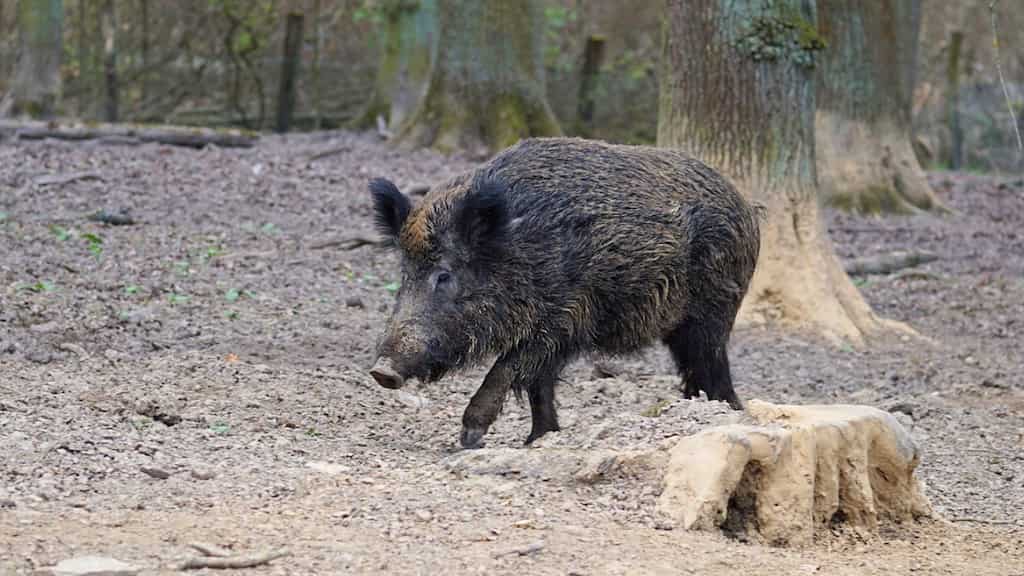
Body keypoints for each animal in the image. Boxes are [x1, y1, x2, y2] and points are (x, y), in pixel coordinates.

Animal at [367, 137, 760, 448]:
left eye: (444, 274)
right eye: (405, 273)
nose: (382, 371)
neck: (518, 249)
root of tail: (746, 207)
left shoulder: (561, 318)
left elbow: (507, 368)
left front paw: (470, 437)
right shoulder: (555, 334)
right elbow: (538, 384)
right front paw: (539, 438)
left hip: (712, 312)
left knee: (713, 367)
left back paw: (726, 412)